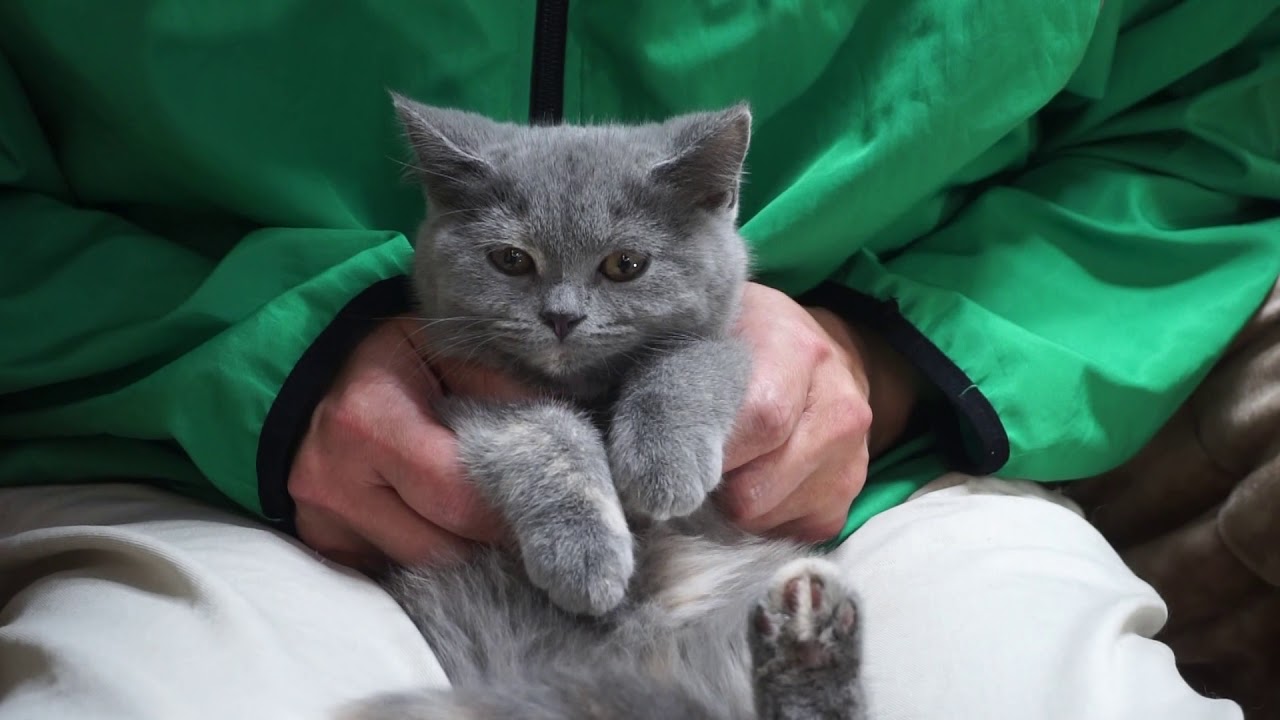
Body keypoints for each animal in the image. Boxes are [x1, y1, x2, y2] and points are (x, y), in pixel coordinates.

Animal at [343, 95, 870, 717]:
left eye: (626, 265)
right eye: (511, 260)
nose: (561, 316)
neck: (589, 391)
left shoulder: (726, 344)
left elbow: (684, 366)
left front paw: (662, 465)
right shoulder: (470, 392)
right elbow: (545, 435)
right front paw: (583, 554)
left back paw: (809, 635)